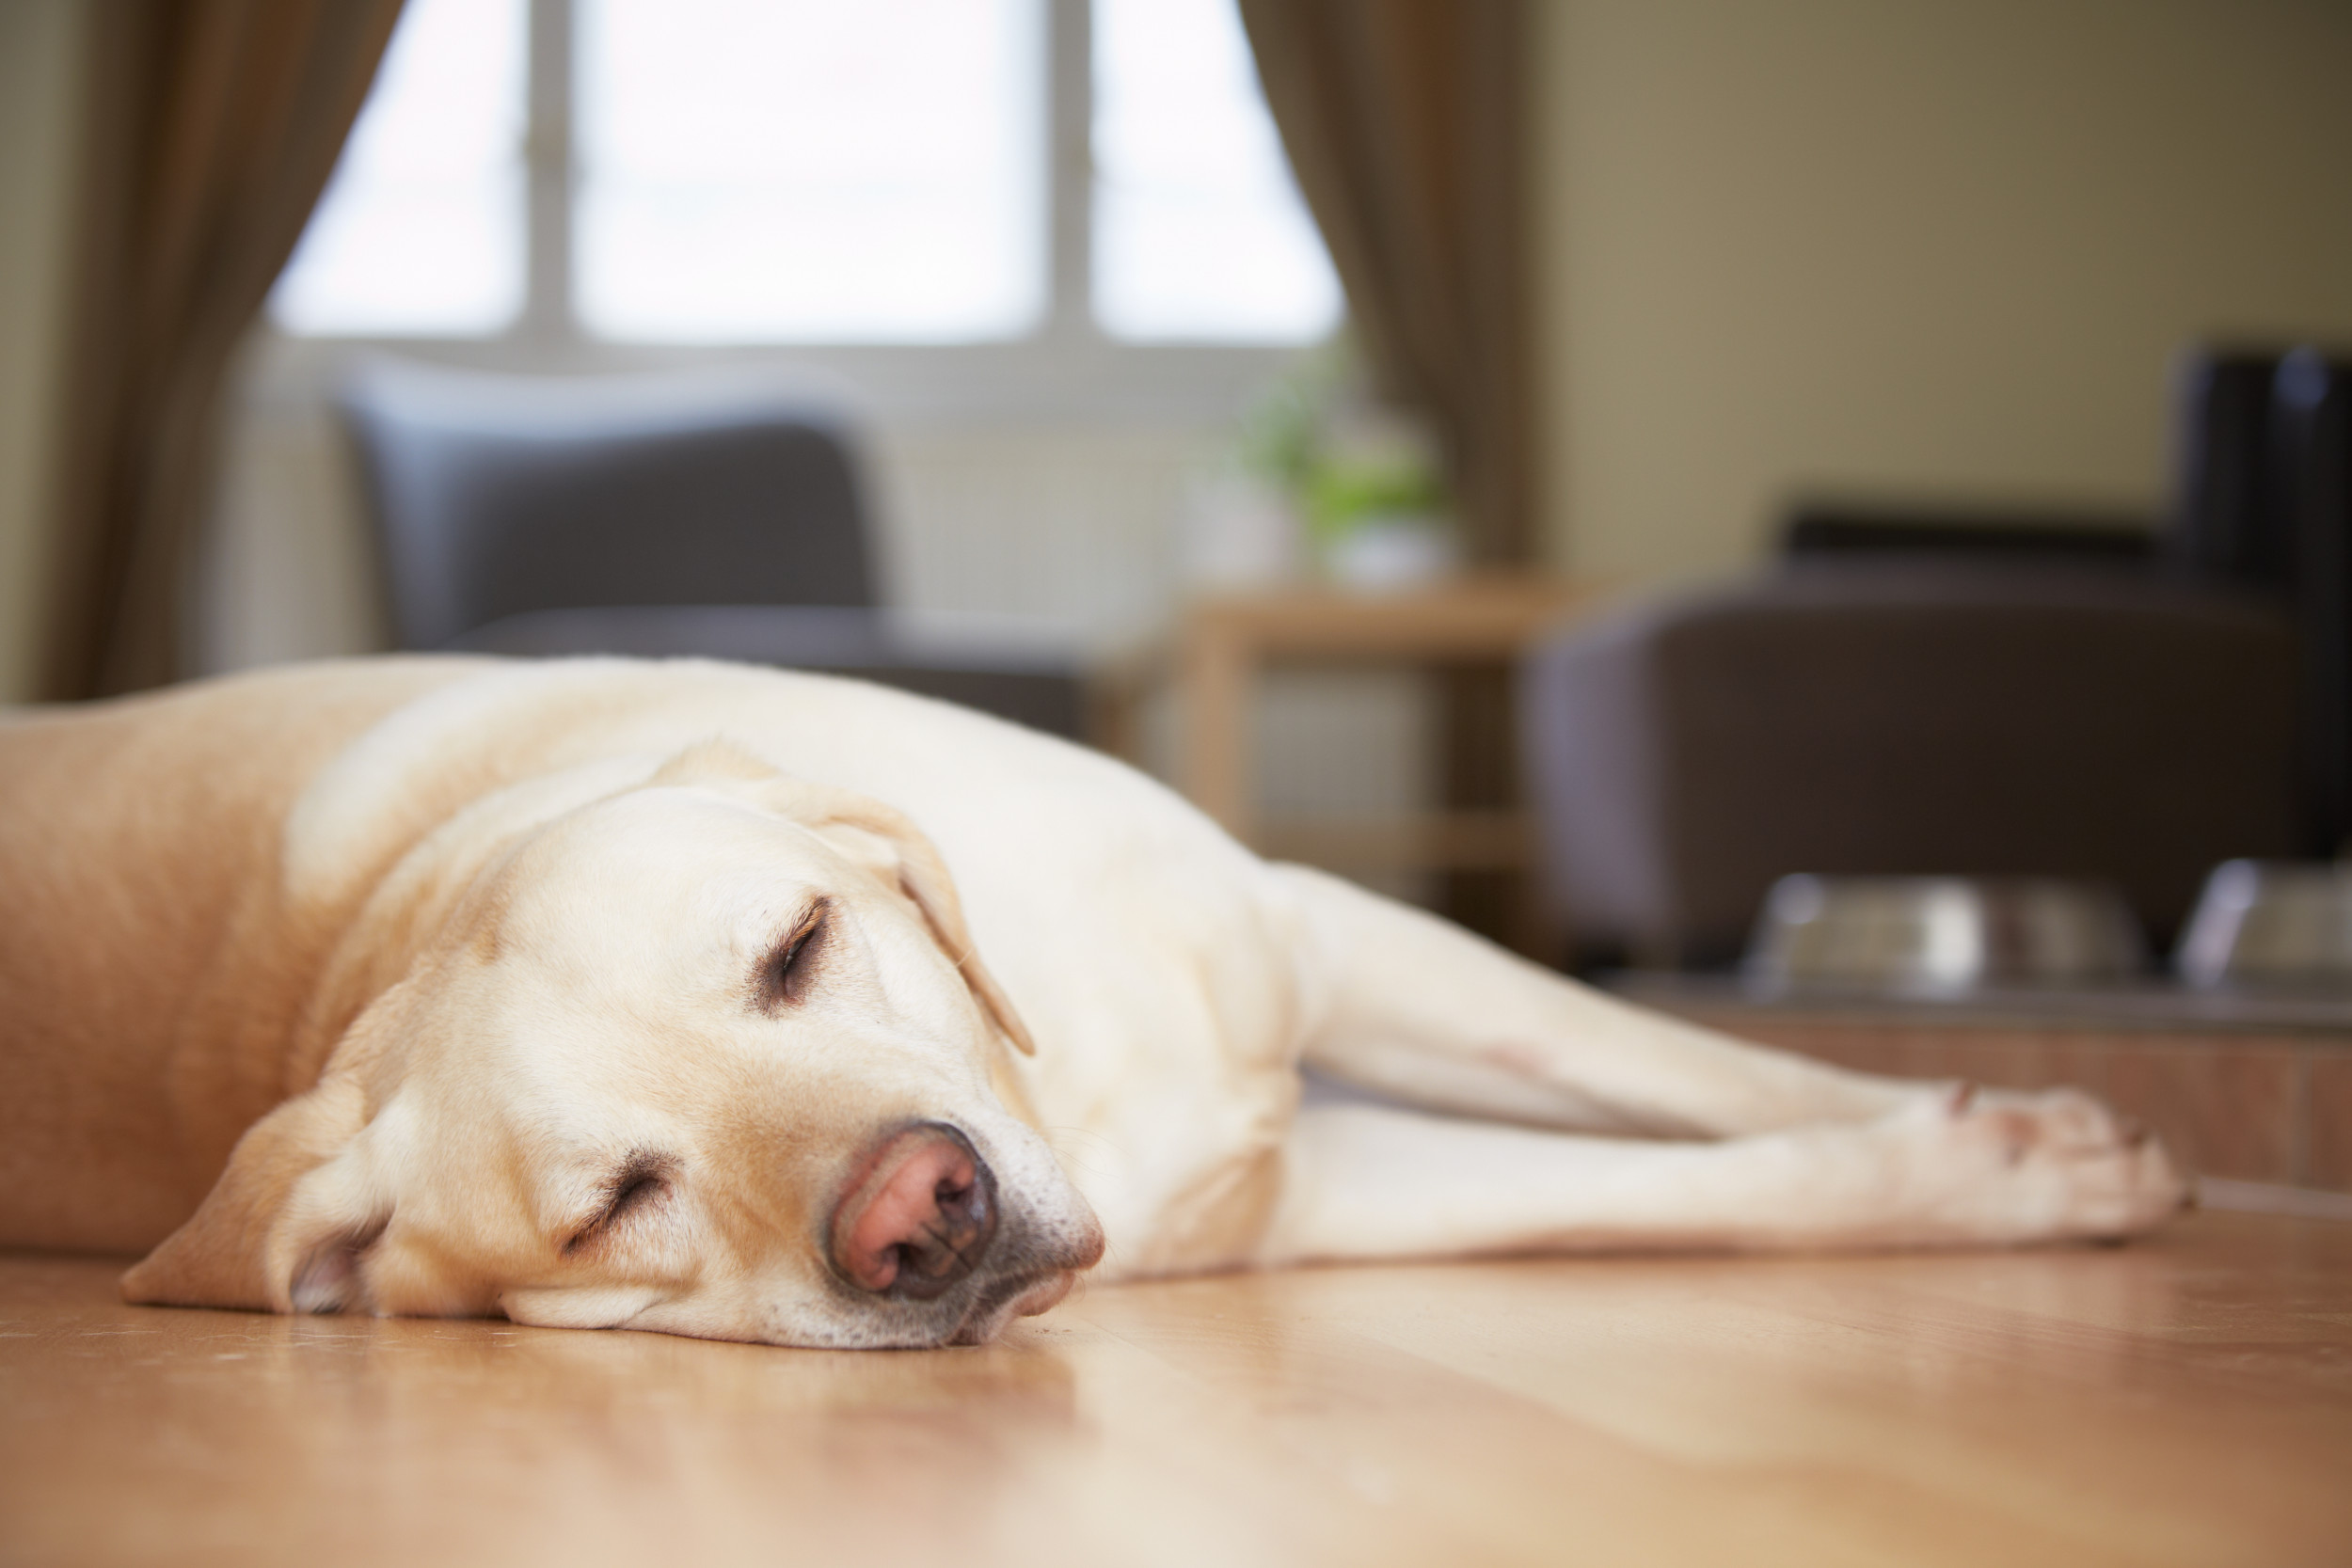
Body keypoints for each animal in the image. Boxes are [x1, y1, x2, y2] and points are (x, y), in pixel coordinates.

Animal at [0, 662, 2183, 1354]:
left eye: (796, 944)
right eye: (617, 1202)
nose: (921, 1215)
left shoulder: (1320, 932)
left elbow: (1684, 1062)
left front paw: (2019, 1138)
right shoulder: (1310, 1193)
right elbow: (1662, 1186)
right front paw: (1994, 1172)